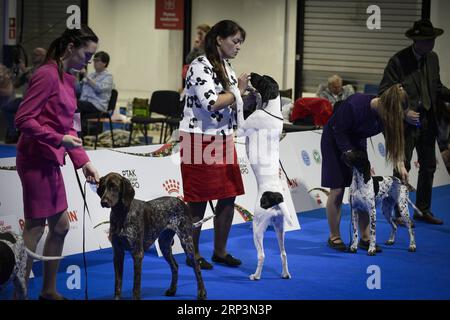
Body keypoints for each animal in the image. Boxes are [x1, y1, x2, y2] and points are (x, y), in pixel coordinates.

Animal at [97, 172, 207, 300]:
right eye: (103, 187)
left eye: (114, 187)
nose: (104, 202)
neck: (121, 214)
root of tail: (181, 202)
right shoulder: (118, 254)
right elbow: (118, 284)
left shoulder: (137, 254)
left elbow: (136, 286)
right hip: (164, 245)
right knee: (175, 266)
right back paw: (172, 290)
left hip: (186, 242)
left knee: (196, 267)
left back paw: (202, 293)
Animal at [232, 72, 296, 280]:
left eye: (263, 78)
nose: (251, 74)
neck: (272, 111)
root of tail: (277, 198)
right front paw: (254, 94)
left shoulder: (241, 128)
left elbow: (239, 104)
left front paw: (237, 89)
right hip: (279, 227)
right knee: (283, 253)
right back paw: (285, 274)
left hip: (258, 226)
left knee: (262, 255)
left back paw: (256, 275)